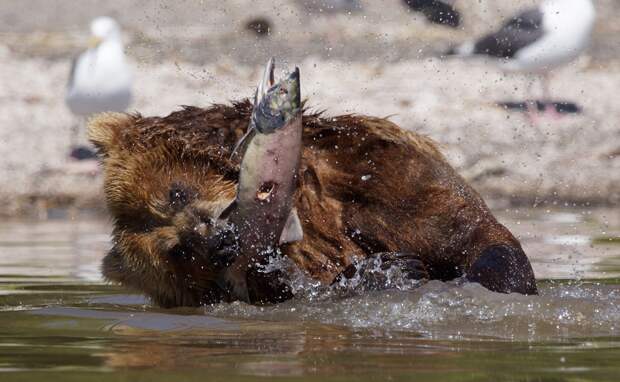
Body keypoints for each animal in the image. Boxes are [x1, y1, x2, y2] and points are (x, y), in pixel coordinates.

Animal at [88, 78, 536, 308]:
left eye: (175, 193)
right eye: (178, 252)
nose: (215, 240)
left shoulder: (373, 175)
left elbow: (469, 234)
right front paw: (386, 273)